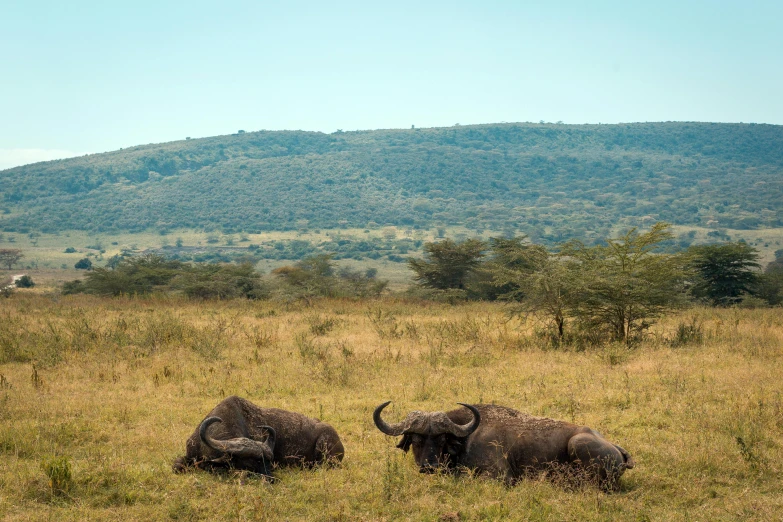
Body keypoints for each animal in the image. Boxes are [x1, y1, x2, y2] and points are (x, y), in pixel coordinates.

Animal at [376, 398, 636, 488]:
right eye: (417, 439)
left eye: (441, 439)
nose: (428, 466)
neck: (466, 438)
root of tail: (617, 450)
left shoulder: (501, 477)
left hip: (578, 442)